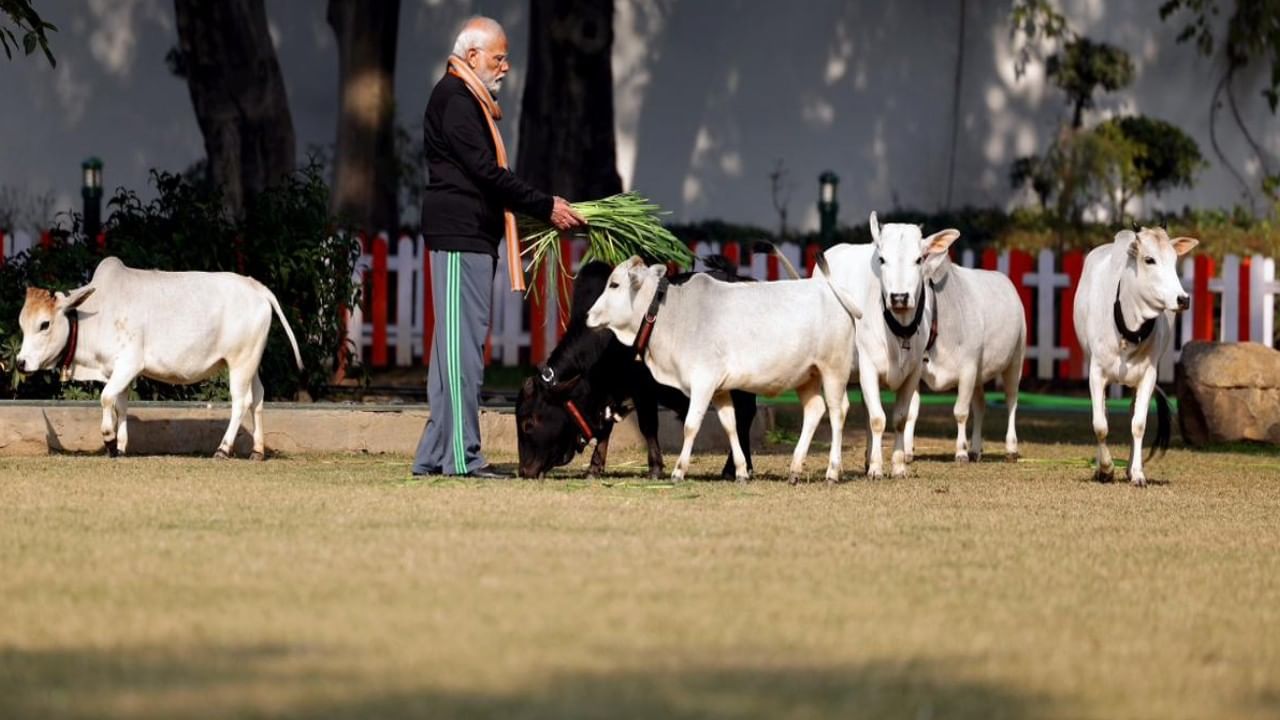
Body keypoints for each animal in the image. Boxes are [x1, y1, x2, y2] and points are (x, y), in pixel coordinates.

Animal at [16, 257, 300, 458]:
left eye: (44, 324)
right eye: (22, 324)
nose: (20, 362)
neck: (97, 313)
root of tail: (257, 287)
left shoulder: (129, 364)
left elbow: (106, 398)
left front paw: (109, 439)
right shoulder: (116, 371)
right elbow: (120, 405)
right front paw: (120, 447)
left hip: (240, 362)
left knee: (241, 402)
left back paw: (223, 449)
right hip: (251, 362)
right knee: (258, 399)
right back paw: (257, 451)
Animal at [586, 252, 860, 481]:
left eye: (614, 284)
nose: (588, 315)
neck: (674, 315)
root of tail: (830, 290)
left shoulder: (703, 381)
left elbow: (691, 425)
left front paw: (679, 471)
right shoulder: (720, 389)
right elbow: (730, 425)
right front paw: (740, 471)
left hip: (833, 370)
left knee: (837, 411)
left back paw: (832, 471)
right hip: (807, 376)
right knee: (814, 410)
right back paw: (794, 469)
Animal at [819, 211, 962, 476]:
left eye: (919, 259)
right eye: (882, 259)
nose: (899, 297)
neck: (900, 329)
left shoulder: (913, 373)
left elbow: (899, 419)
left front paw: (897, 465)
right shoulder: (868, 368)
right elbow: (878, 419)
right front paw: (877, 467)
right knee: (840, 411)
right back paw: (839, 466)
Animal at [901, 240, 1029, 461]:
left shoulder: (967, 368)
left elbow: (960, 411)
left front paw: (960, 451)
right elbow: (911, 411)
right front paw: (908, 450)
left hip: (1015, 359)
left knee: (1011, 400)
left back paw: (1011, 447)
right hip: (979, 372)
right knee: (980, 405)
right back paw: (976, 448)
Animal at [1070, 226, 1198, 484]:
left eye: (1174, 260)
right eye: (1149, 260)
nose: (1183, 299)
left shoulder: (1148, 376)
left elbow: (1138, 424)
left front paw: (1137, 473)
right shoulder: (1096, 373)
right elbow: (1100, 424)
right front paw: (1106, 468)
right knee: (1103, 413)